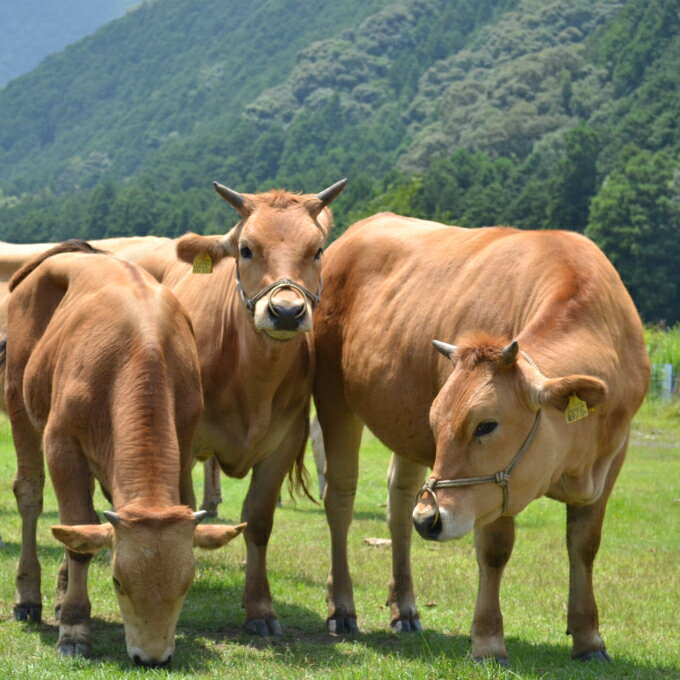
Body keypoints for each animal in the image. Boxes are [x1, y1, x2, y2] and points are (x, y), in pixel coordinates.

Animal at [6, 242, 246, 668]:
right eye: (118, 581)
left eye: (187, 583)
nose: (152, 658)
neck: (140, 346)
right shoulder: (62, 442)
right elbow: (78, 537)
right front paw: (74, 628)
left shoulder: (184, 439)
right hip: (20, 407)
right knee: (31, 496)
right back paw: (29, 597)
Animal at [134, 179, 346, 632]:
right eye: (246, 249)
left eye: (317, 250)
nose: (286, 312)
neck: (253, 379)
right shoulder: (181, 438)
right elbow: (183, 510)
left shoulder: (285, 440)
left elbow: (259, 520)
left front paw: (260, 608)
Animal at [314, 214, 648, 664]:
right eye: (437, 421)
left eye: (485, 425)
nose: (430, 519)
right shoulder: (498, 490)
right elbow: (495, 549)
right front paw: (489, 641)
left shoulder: (611, 460)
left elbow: (584, 545)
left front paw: (589, 638)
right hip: (333, 397)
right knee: (340, 498)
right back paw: (343, 608)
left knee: (399, 503)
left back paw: (405, 608)